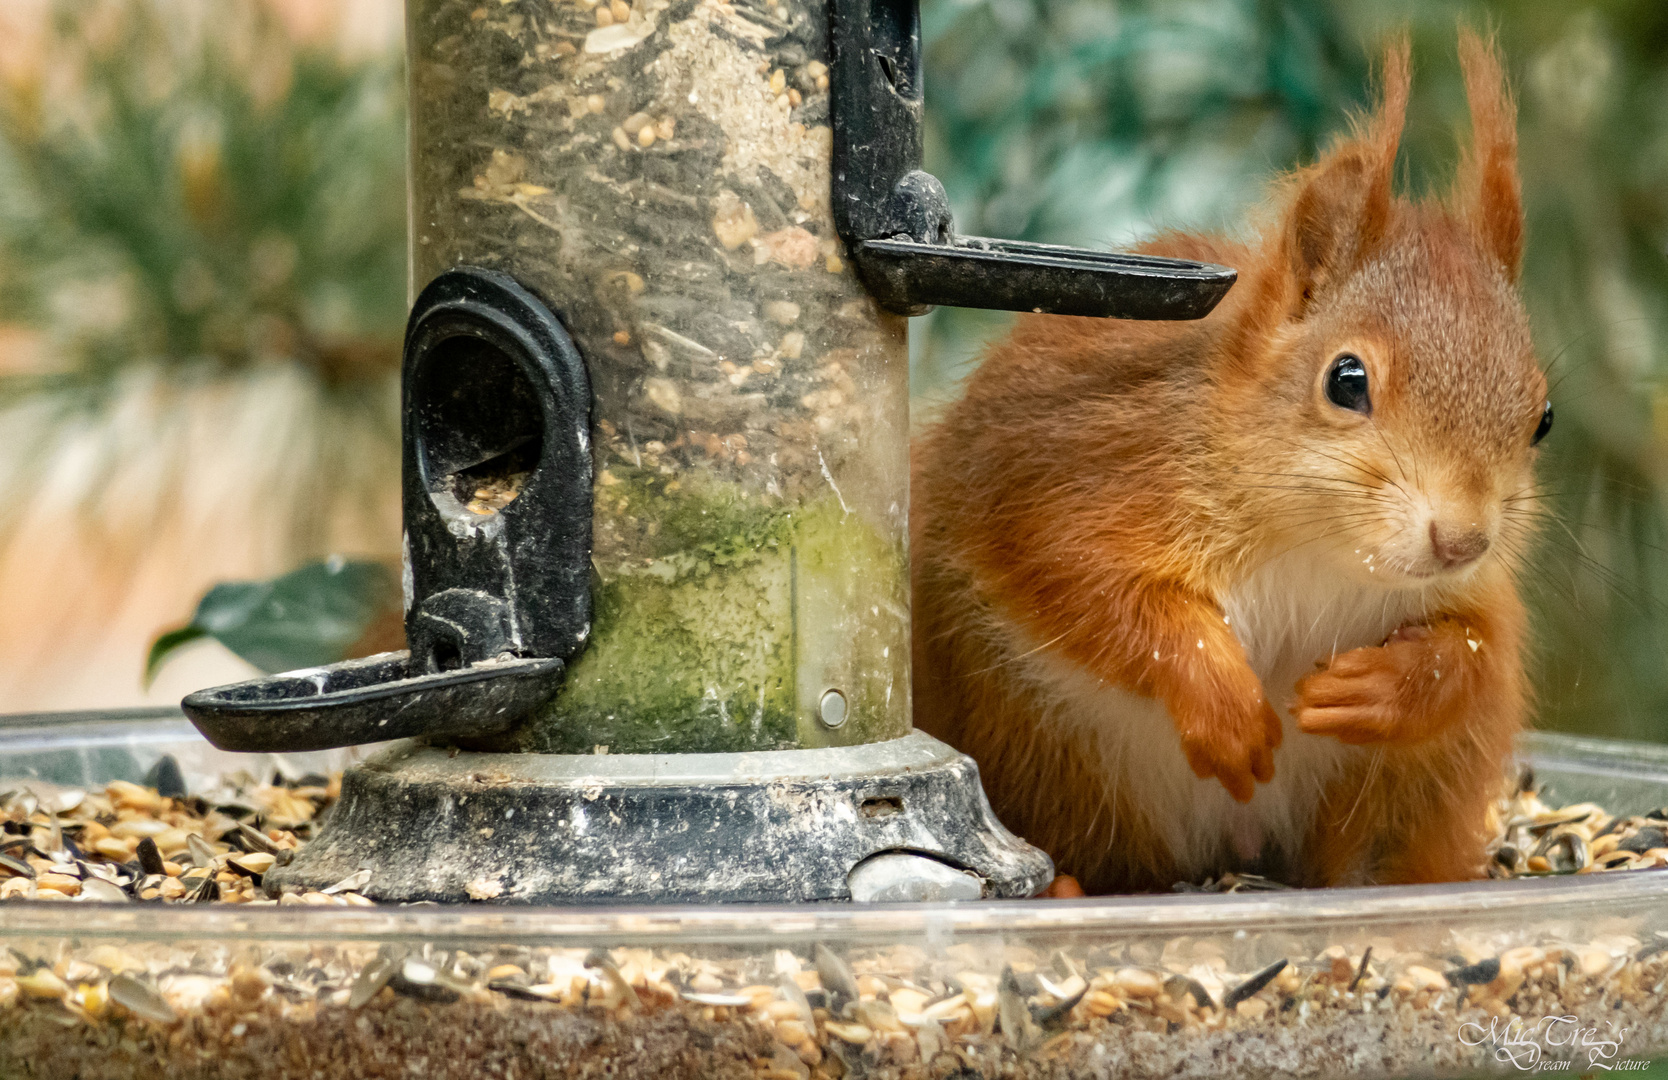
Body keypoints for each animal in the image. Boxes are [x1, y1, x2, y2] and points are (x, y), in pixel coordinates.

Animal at [914, 33, 1547, 894]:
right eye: (1346, 380)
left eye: (1543, 418)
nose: (1462, 540)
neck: (1318, 547)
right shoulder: (1079, 467)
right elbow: (1083, 581)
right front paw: (1222, 703)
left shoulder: (1475, 594)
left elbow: (1479, 651)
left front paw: (1385, 687)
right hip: (1044, 744)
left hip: (1409, 786)